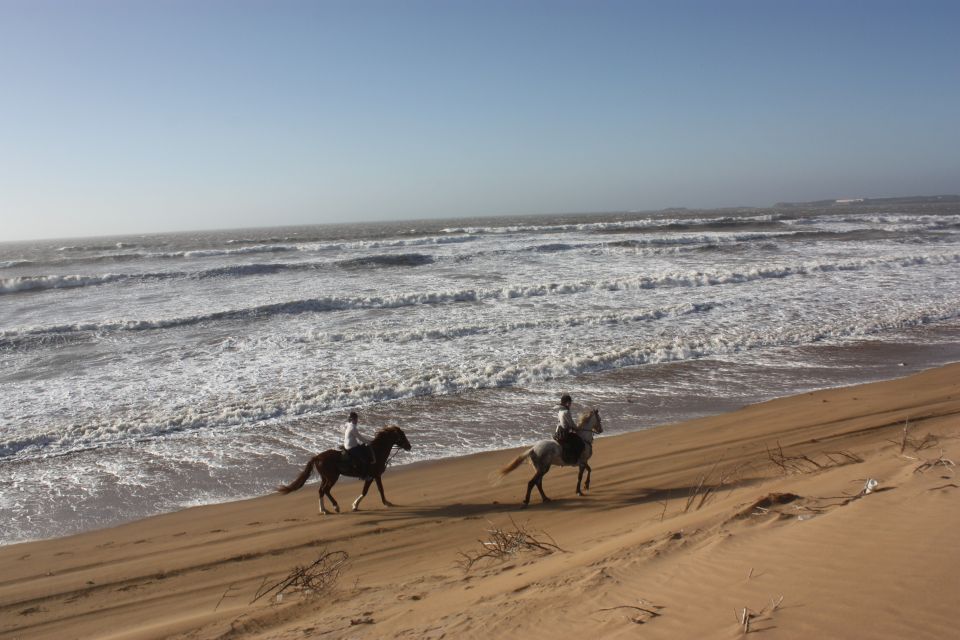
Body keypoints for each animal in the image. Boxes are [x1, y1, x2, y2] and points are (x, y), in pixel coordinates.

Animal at [278, 424, 412, 516]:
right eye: (401, 436)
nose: (409, 446)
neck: (377, 451)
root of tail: (317, 457)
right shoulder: (375, 475)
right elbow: (374, 490)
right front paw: (385, 503)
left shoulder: (372, 476)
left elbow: (369, 490)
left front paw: (356, 505)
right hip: (332, 477)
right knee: (326, 490)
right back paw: (336, 507)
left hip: (325, 478)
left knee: (321, 491)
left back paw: (324, 510)